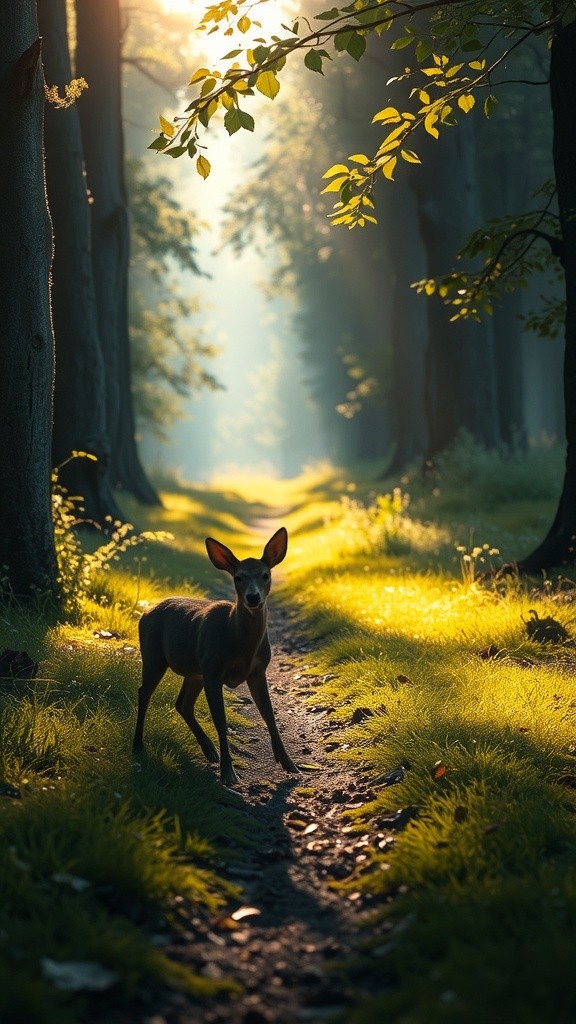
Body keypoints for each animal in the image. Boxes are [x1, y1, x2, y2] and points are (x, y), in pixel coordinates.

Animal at [132, 526, 300, 786]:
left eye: (265, 574)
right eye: (238, 577)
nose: (253, 597)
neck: (240, 644)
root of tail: (146, 612)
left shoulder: (258, 671)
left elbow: (269, 715)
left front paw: (290, 764)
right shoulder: (213, 669)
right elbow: (221, 722)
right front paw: (228, 774)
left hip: (194, 671)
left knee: (182, 704)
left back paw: (210, 751)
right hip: (153, 655)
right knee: (144, 693)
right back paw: (138, 745)